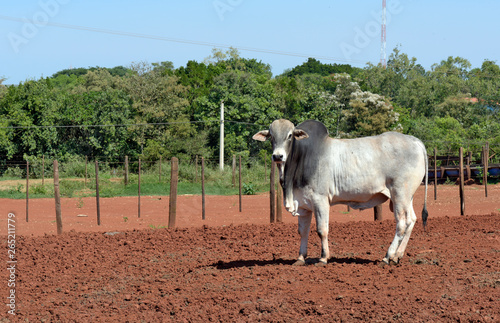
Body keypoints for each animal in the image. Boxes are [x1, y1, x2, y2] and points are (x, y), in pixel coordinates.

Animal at [254, 119, 430, 266]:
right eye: (271, 136)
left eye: (290, 135)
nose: (278, 156)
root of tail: (415, 141)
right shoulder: (303, 205)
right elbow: (303, 232)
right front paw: (300, 258)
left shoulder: (320, 200)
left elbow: (322, 230)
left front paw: (323, 258)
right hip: (407, 197)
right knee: (412, 220)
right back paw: (397, 256)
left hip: (400, 193)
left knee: (402, 223)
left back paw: (388, 256)